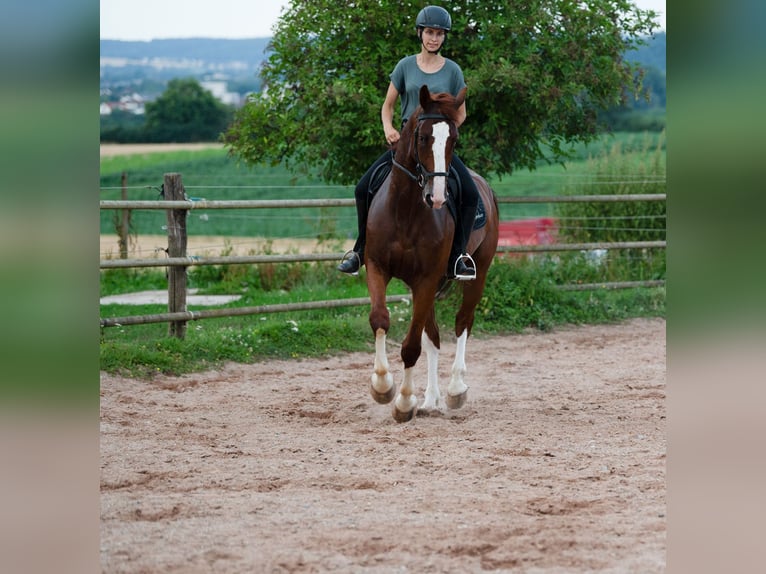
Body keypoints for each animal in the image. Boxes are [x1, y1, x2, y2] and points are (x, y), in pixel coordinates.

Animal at [366, 86, 504, 428]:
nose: (437, 197)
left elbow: (412, 346)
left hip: (478, 272)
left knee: (463, 322)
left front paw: (403, 403)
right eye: (423, 137)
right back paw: (430, 400)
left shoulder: (427, 278)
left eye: (453, 138)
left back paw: (454, 391)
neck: (405, 209)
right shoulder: (378, 267)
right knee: (434, 336)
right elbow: (381, 319)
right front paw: (383, 387)